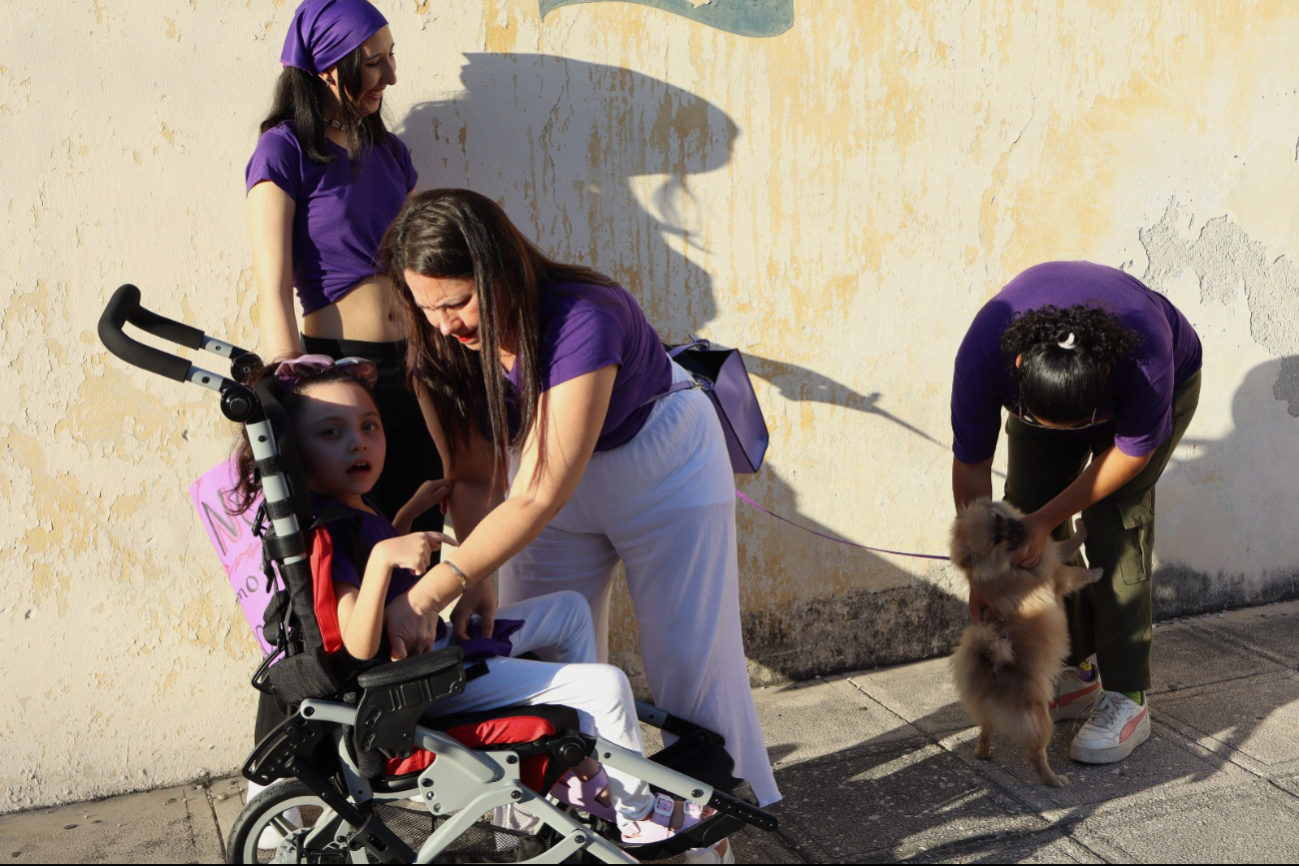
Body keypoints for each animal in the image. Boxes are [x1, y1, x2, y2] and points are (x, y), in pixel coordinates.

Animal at [950, 493, 1101, 784]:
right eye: (995, 540)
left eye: (998, 518)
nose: (1018, 527)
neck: (1003, 562)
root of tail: (989, 668)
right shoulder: (1056, 574)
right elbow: (1077, 573)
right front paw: (1096, 572)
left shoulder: (1046, 553)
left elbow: (1067, 544)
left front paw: (1081, 529)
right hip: (1039, 719)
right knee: (1035, 754)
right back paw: (1053, 779)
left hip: (988, 717)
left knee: (985, 733)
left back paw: (983, 754)